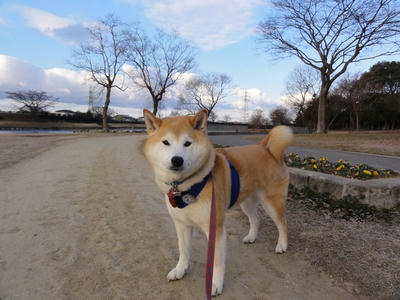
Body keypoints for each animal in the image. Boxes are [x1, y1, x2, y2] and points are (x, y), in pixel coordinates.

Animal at [142, 108, 292, 296]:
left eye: (187, 143)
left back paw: (282, 245)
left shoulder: (215, 227)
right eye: (166, 142)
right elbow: (183, 250)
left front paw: (214, 284)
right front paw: (180, 270)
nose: (177, 159)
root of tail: (266, 147)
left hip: (272, 202)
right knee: (255, 220)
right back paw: (251, 237)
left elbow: (217, 261)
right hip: (247, 202)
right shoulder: (182, 224)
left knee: (283, 223)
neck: (186, 187)